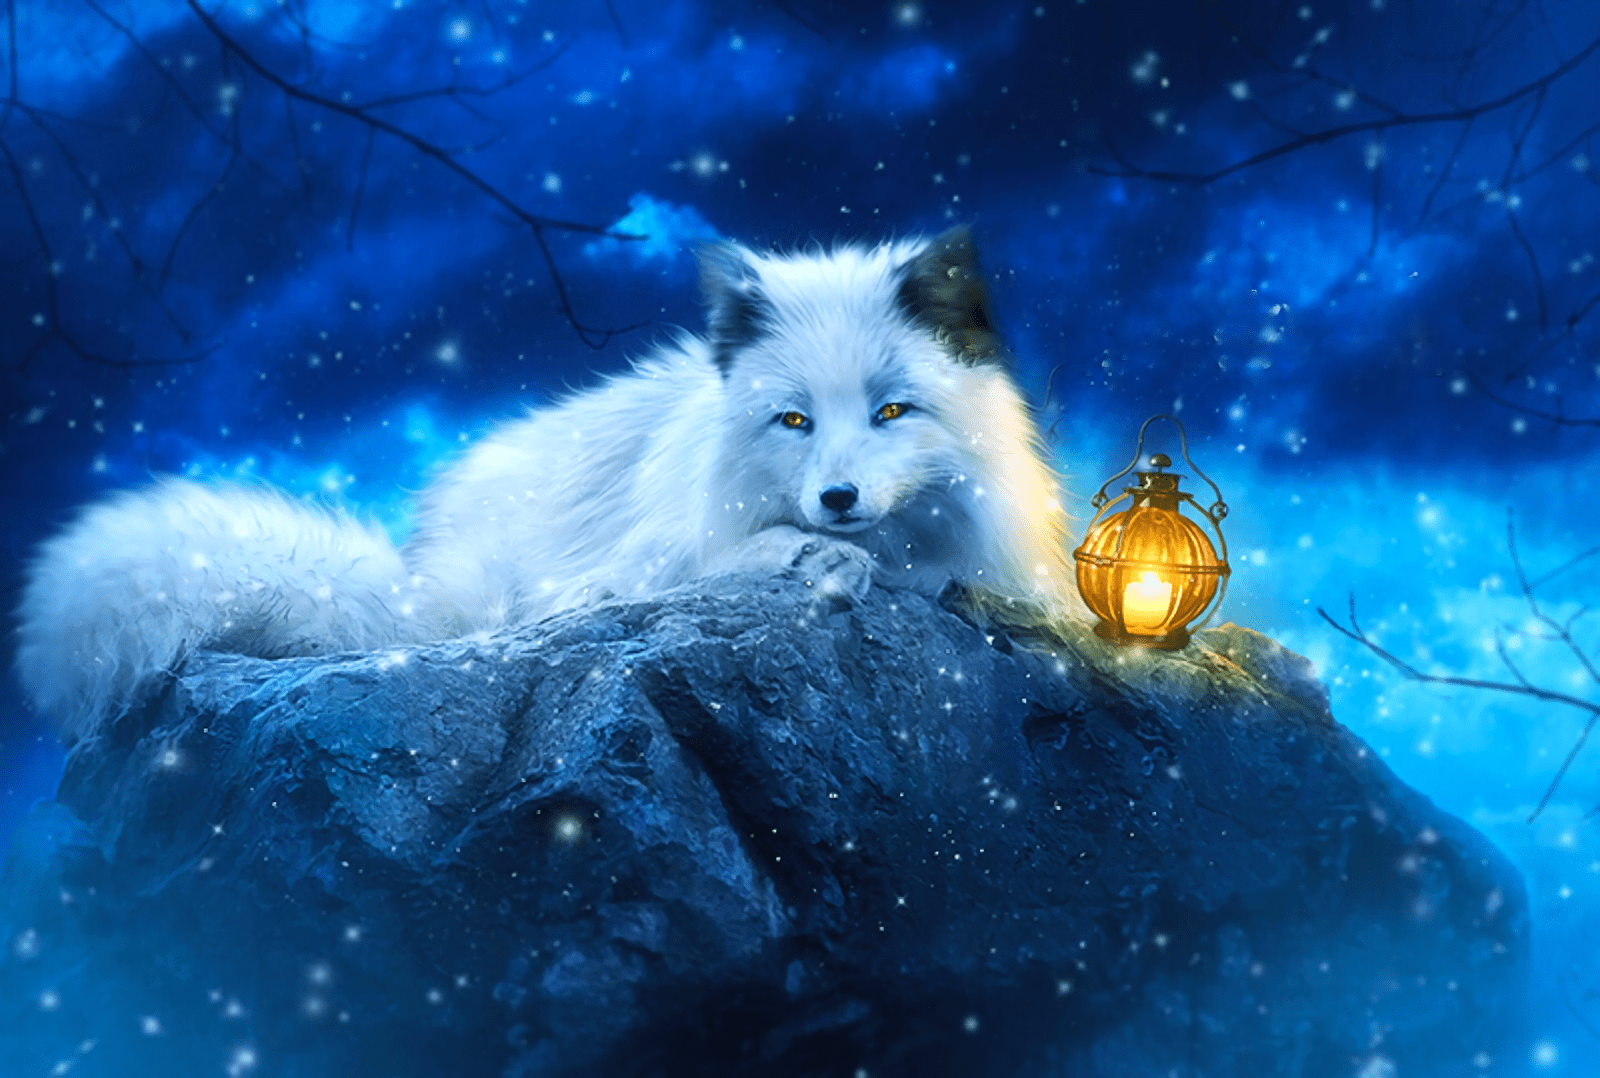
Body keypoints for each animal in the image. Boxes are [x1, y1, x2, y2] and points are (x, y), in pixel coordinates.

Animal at [16, 227, 1081, 742]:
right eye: (795, 422)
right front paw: (815, 559)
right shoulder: (649, 557)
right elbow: (730, 560)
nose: (838, 500)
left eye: (892, 412)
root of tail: (421, 562)